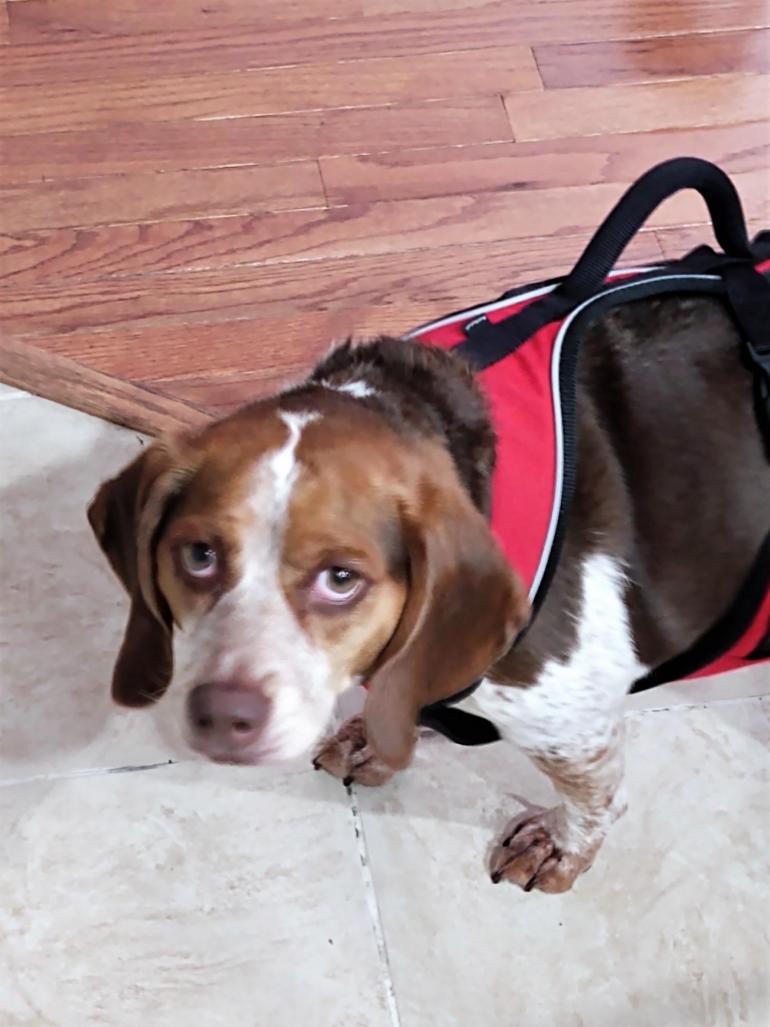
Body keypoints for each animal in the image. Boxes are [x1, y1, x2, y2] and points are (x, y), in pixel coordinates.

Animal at [87, 293, 767, 895]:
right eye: (198, 555)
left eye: (341, 578)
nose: (224, 718)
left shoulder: (574, 726)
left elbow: (595, 802)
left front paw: (559, 847)